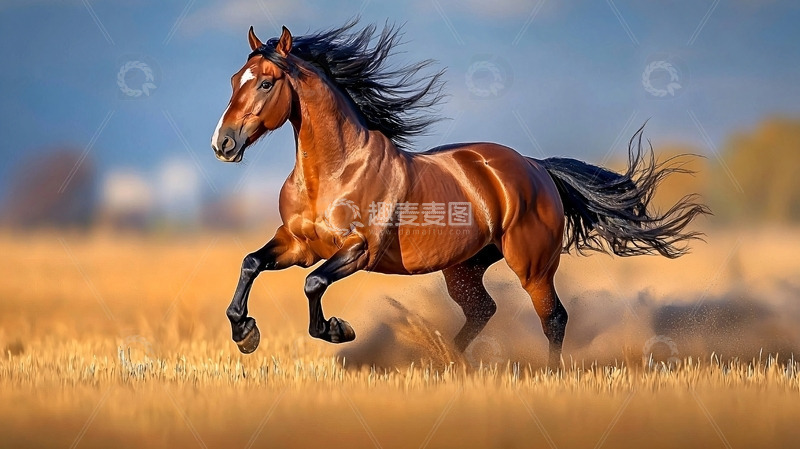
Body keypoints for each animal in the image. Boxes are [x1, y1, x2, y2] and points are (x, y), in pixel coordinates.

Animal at [210, 21, 709, 368]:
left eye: (266, 82)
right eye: (234, 78)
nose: (223, 144)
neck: (333, 173)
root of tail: (536, 167)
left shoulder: (358, 250)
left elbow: (313, 283)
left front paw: (338, 330)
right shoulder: (298, 244)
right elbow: (251, 262)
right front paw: (245, 333)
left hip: (532, 266)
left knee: (554, 318)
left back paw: (546, 374)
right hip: (464, 268)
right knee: (483, 310)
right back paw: (447, 362)